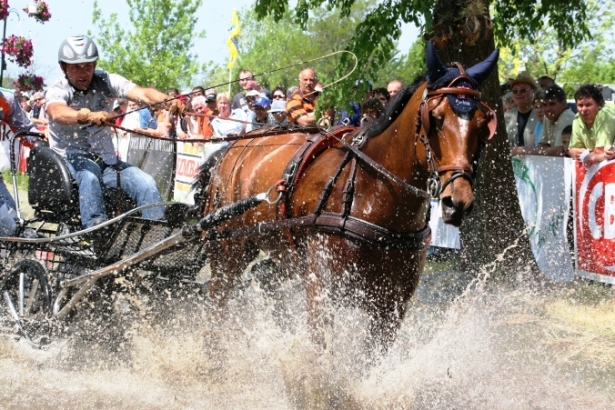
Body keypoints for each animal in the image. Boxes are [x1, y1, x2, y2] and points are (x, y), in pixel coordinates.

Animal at [200, 40, 498, 350]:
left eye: (483, 123)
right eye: (436, 119)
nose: (457, 201)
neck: (374, 194)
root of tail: (230, 149)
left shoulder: (392, 302)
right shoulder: (322, 286)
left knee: (265, 276)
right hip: (227, 251)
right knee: (216, 307)